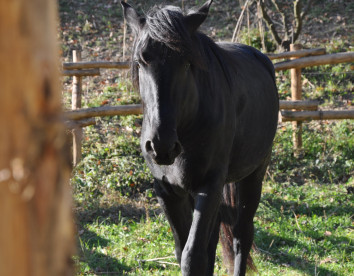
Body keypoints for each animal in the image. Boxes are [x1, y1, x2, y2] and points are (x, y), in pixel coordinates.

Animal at [121, 1, 280, 274]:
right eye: (141, 61)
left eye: (186, 63)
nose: (161, 145)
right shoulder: (167, 190)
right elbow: (185, 250)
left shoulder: (210, 185)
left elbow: (192, 255)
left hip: (254, 174)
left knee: (242, 236)